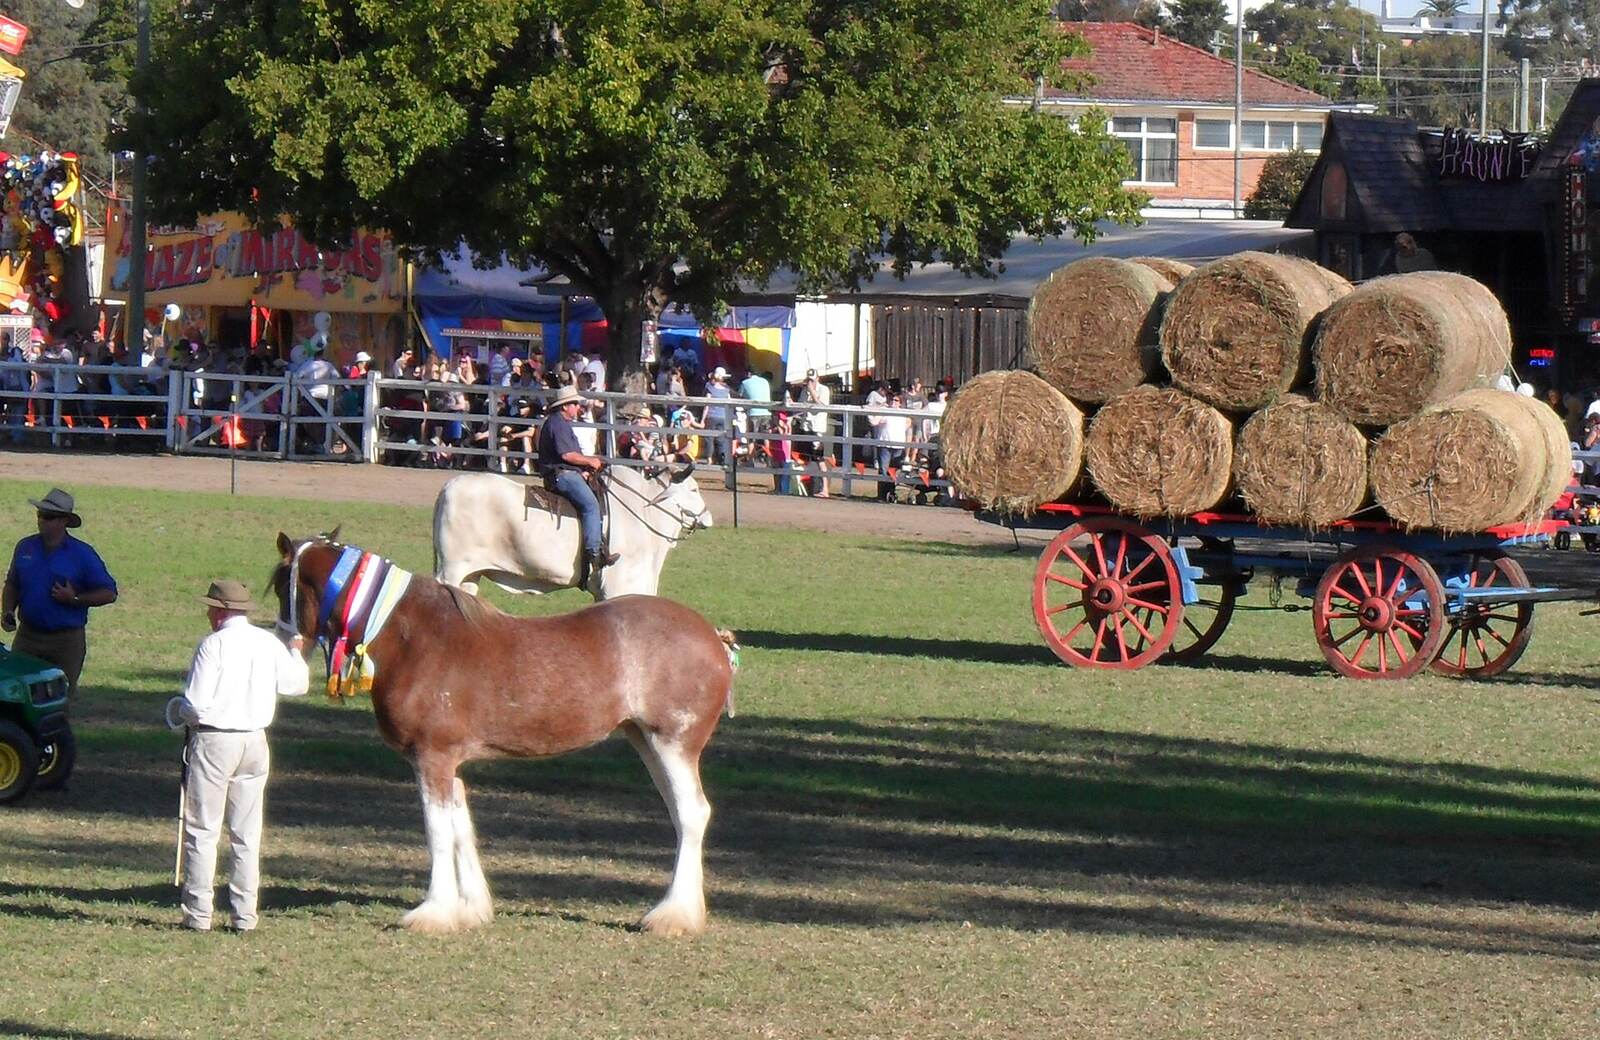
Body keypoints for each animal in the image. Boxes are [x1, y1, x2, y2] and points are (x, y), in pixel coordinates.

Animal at [271, 532, 737, 935]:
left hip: (671, 743)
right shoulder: (447, 762)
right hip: (645, 741)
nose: (283, 650)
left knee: (692, 814)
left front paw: (433, 912)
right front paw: (469, 909)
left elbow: (438, 832)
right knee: (682, 815)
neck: (413, 639)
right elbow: (460, 827)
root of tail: (712, 636)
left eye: (281, 587)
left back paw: (671, 915)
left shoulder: (432, 758)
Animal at [433, 464, 712, 601]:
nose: (708, 517)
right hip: (452, 570)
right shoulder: (618, 586)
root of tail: (448, 486)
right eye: (694, 489)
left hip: (471, 575)